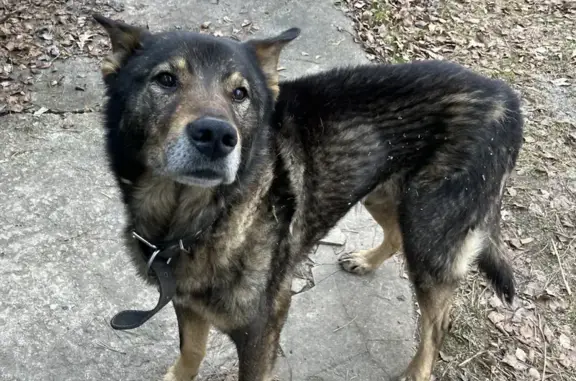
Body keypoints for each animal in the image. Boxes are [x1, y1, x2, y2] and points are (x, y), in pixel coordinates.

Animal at [93, 14, 520, 380]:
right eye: (166, 80)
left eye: (240, 94)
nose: (217, 136)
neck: (198, 219)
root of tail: (505, 97)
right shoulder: (187, 302)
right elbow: (191, 351)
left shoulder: (262, 327)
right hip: (382, 193)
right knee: (396, 235)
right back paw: (366, 261)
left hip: (431, 237)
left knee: (438, 321)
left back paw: (417, 371)